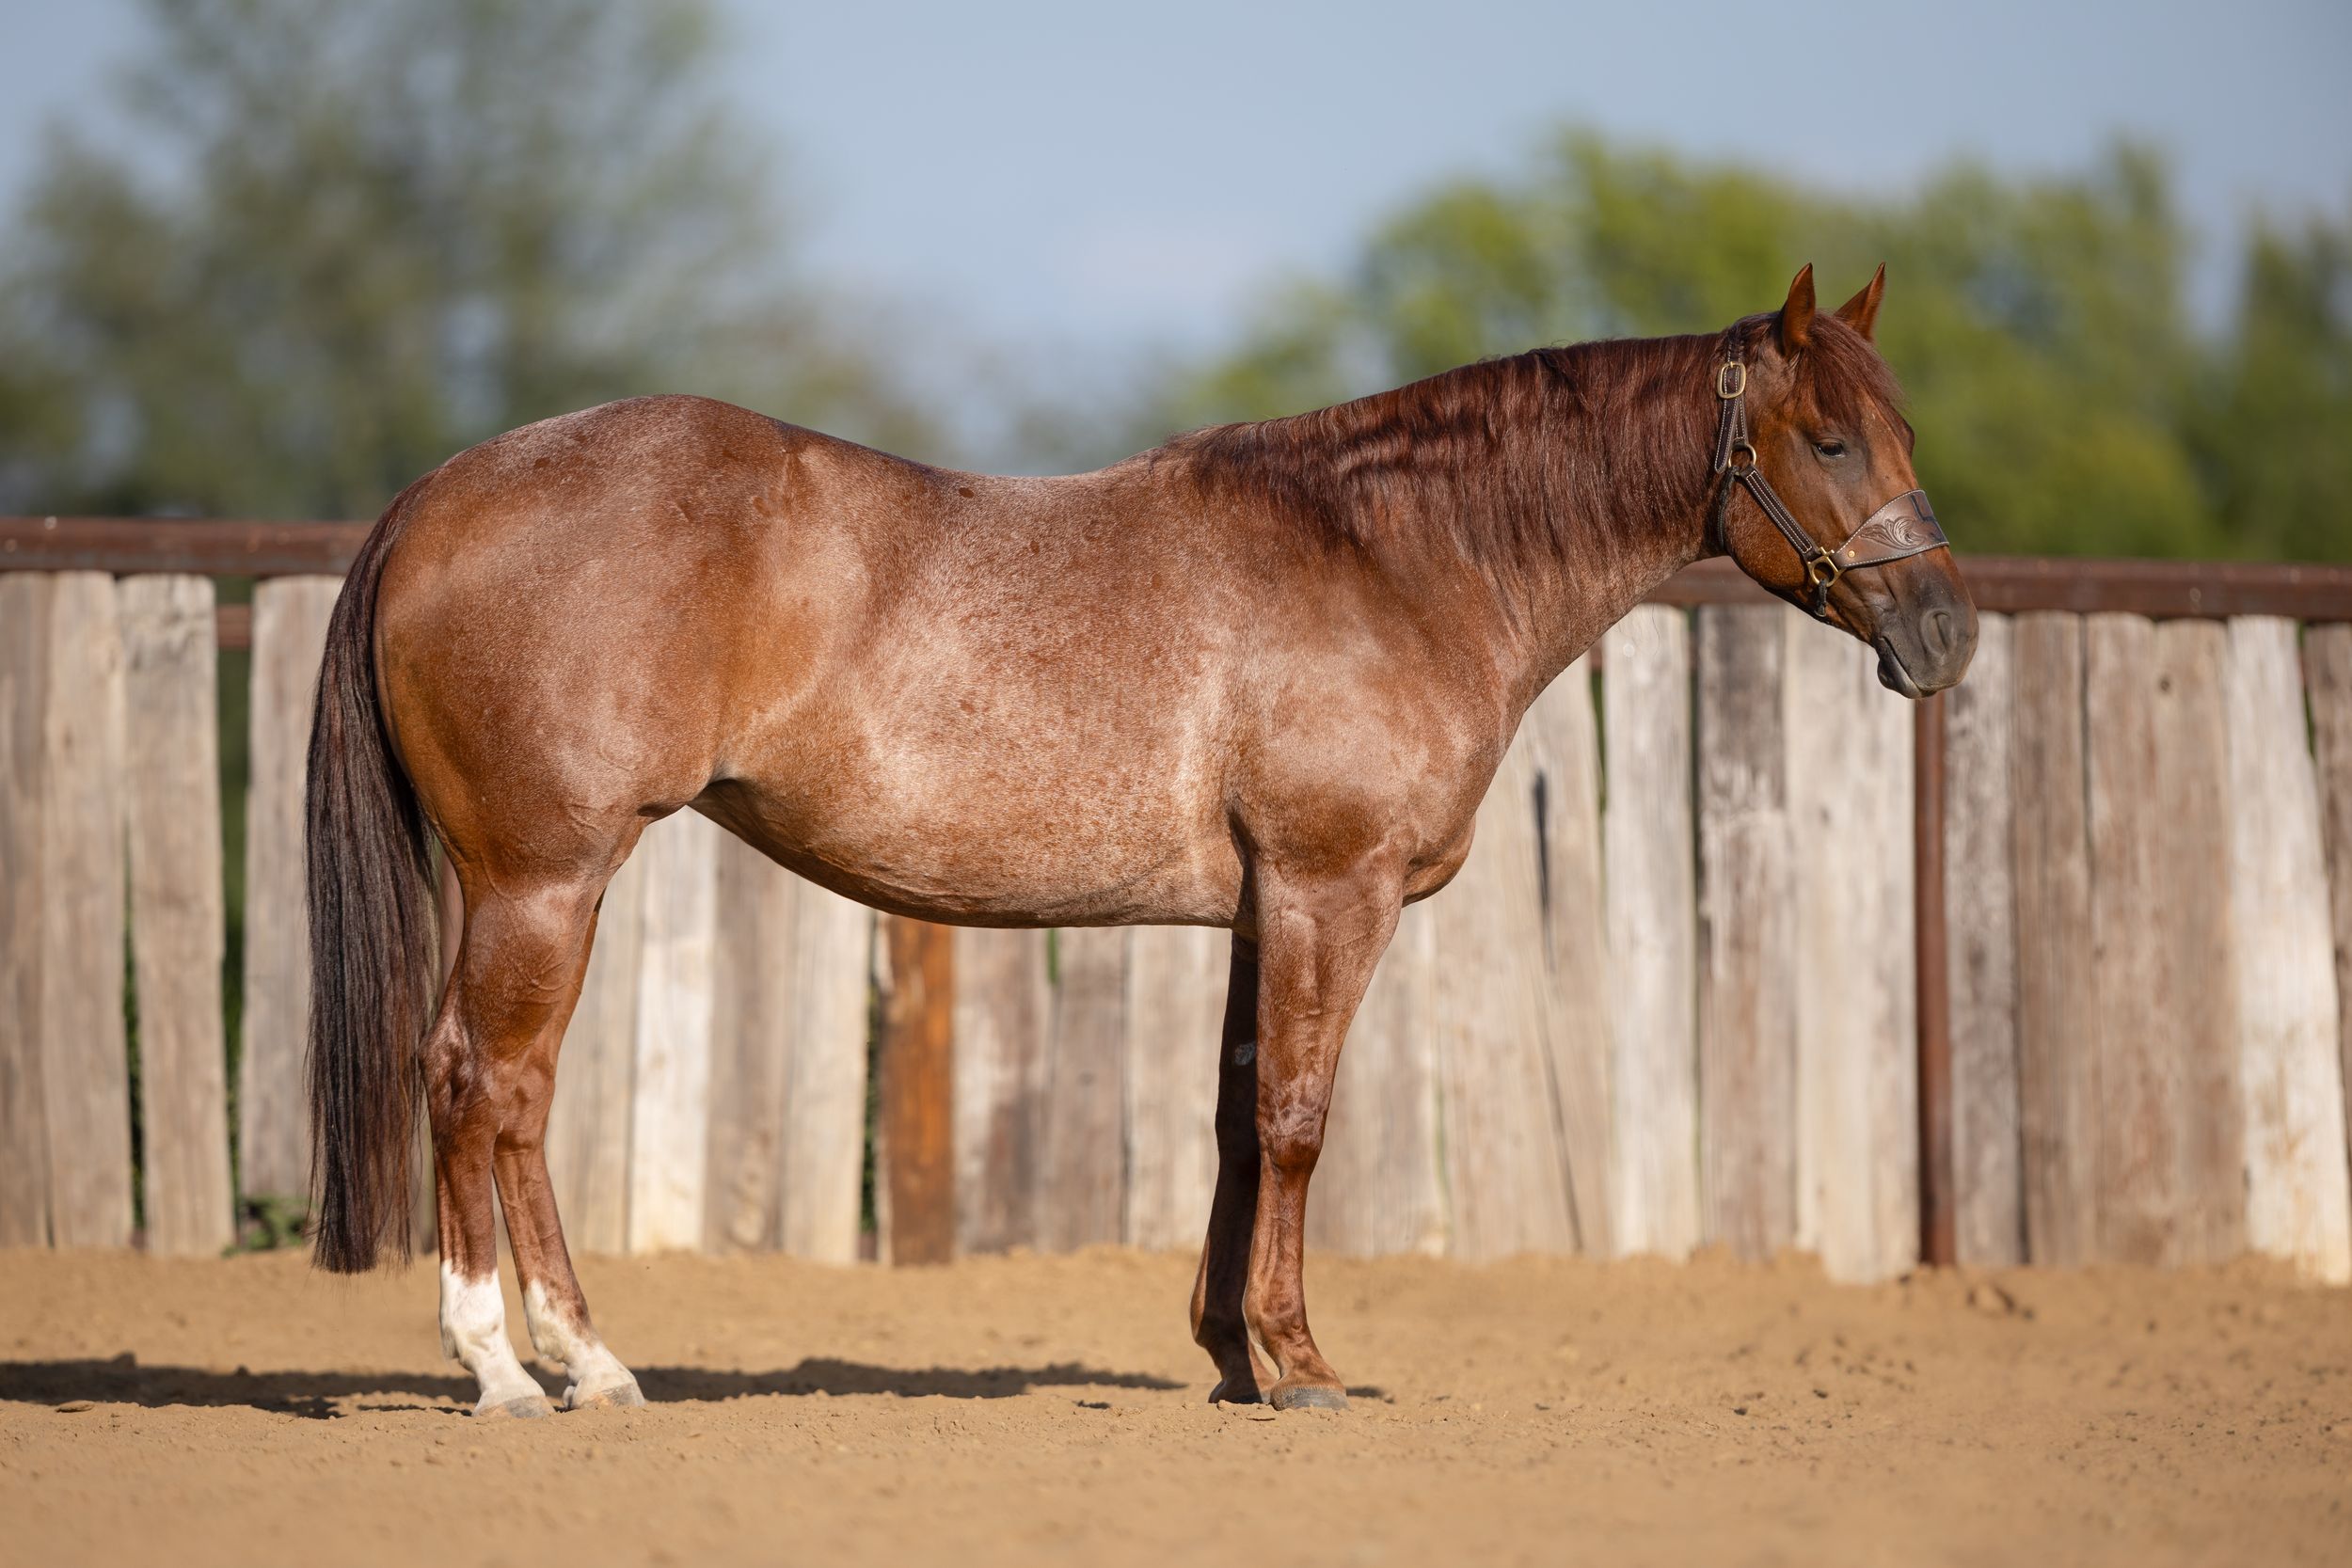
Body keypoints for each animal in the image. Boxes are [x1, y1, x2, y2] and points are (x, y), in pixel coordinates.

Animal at [304, 264, 1976, 1418]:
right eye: (1832, 438)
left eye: (1905, 427)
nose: (1945, 632)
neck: (1393, 560)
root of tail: (442, 493)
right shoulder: (1331, 891)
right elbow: (1299, 1119)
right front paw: (1304, 1361)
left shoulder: (1261, 912)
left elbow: (1237, 1119)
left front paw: (1230, 1354)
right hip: (544, 879)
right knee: (485, 1081)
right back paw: (519, 1368)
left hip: (533, 886)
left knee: (500, 1091)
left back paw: (572, 1361)